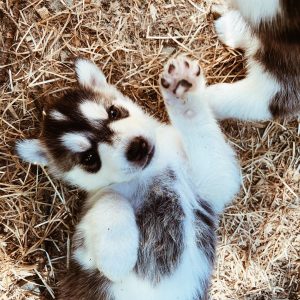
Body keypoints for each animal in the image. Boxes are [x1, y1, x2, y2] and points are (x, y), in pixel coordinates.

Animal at [17, 56, 241, 300]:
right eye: (89, 158)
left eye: (114, 112)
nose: (136, 148)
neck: (149, 171)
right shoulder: (84, 249)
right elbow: (111, 198)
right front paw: (117, 252)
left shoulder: (213, 183)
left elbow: (202, 135)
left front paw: (183, 92)